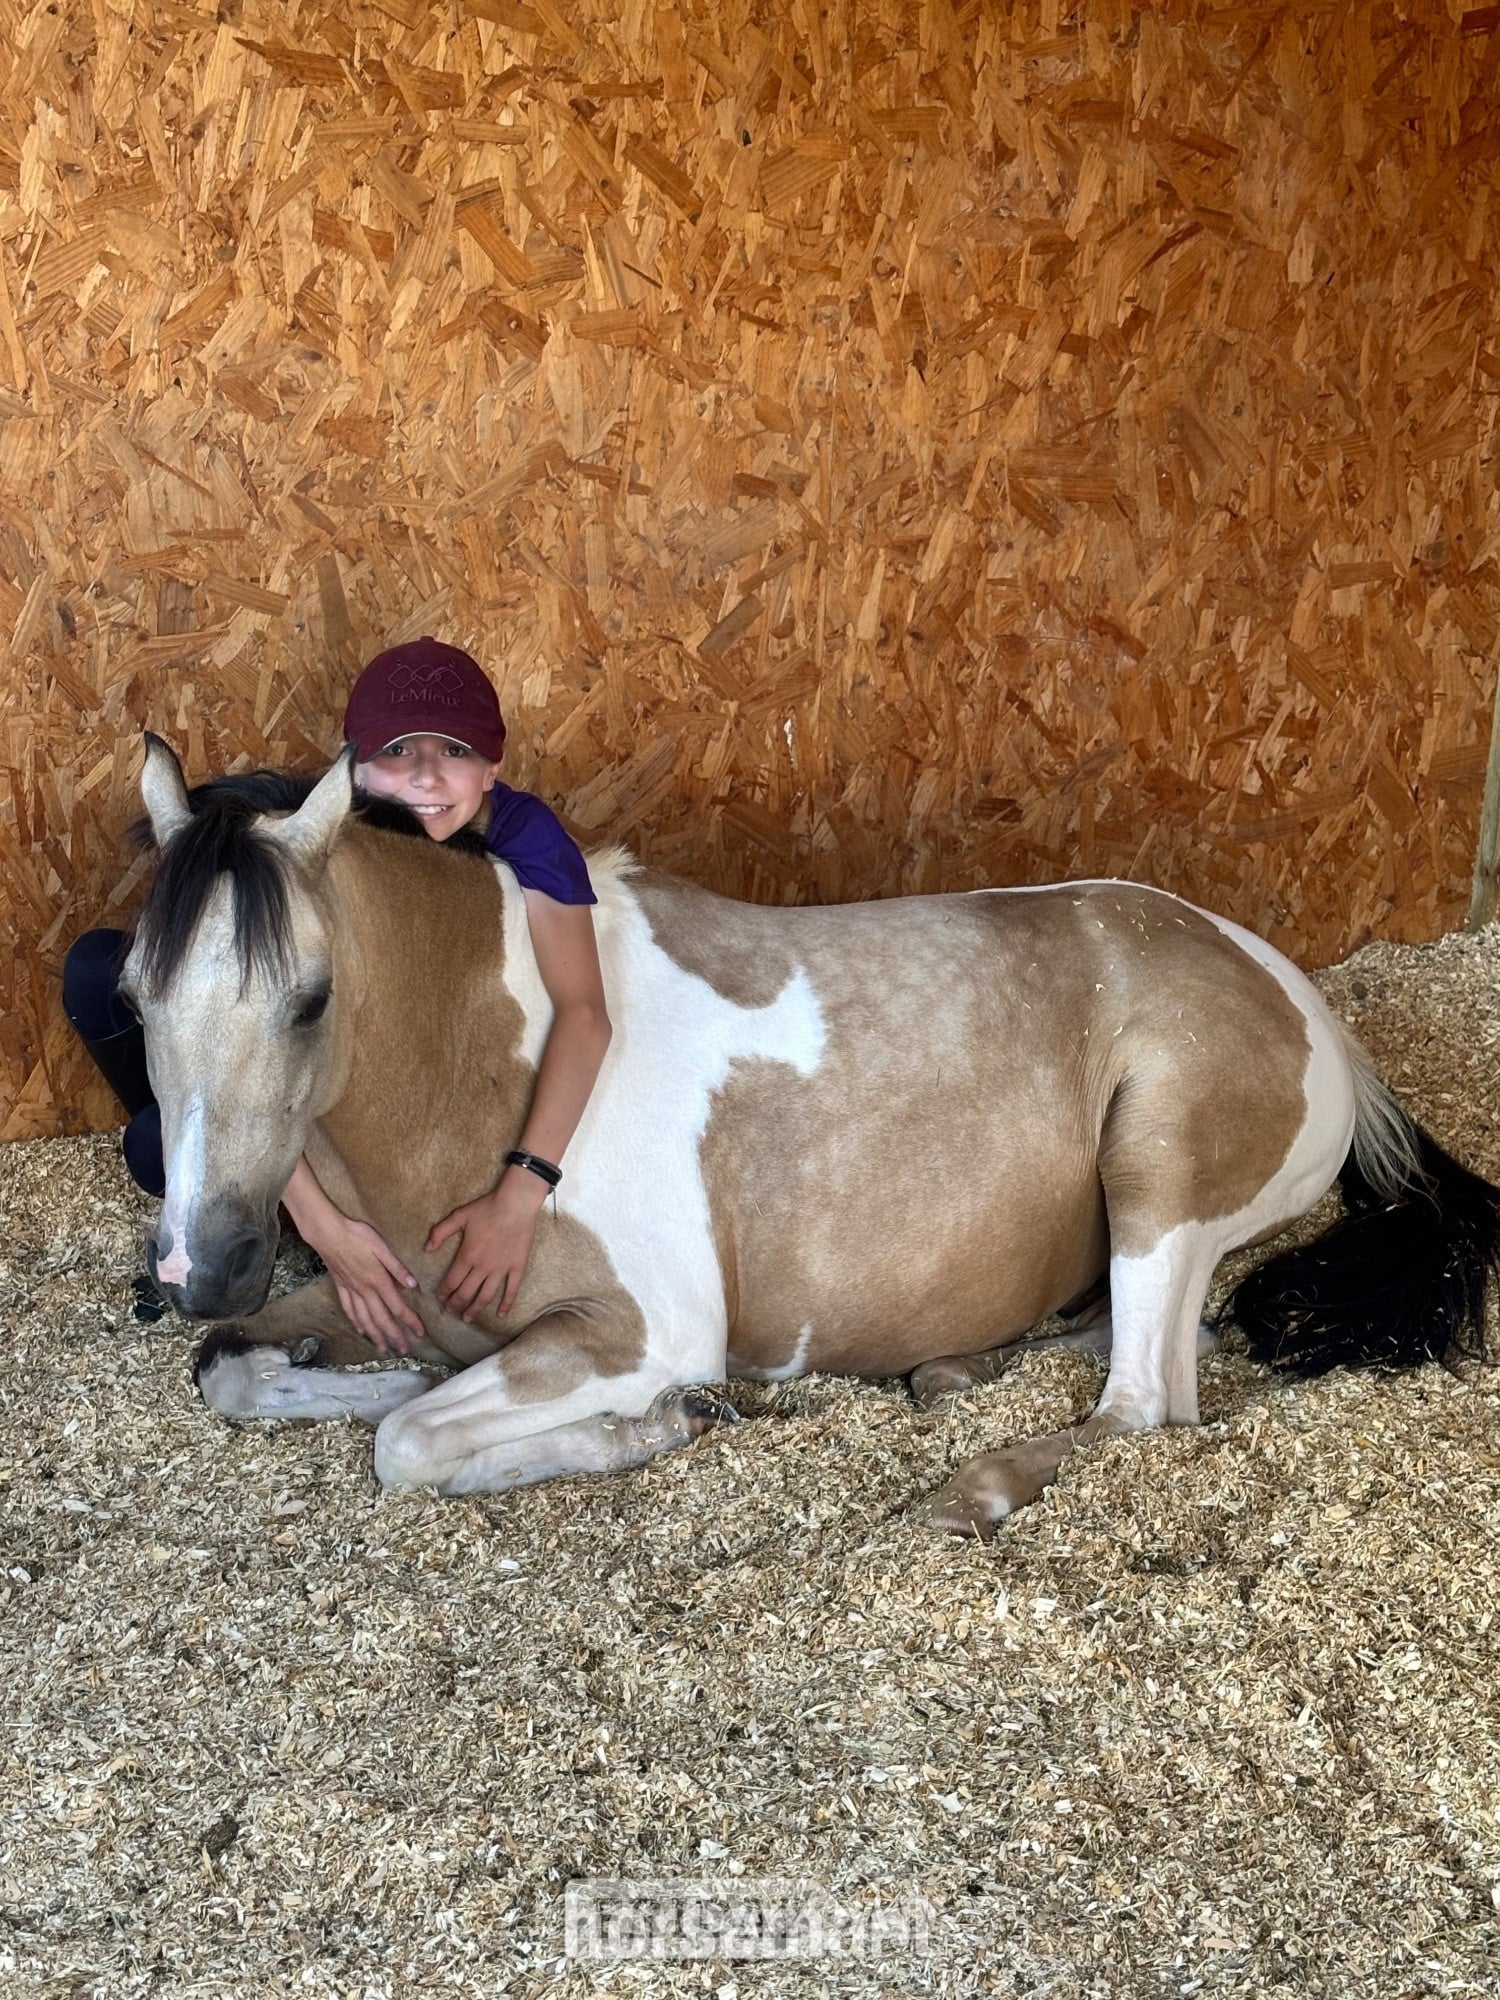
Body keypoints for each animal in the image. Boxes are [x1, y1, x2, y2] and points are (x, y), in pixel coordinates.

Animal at [119, 735, 1500, 1537]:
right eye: (135, 993)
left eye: (310, 997)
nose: (198, 1267)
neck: (490, 1066)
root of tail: (1305, 1002)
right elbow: (241, 1371)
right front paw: (368, 1372)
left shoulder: (640, 1329)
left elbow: (407, 1446)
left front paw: (653, 1426)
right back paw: (952, 1374)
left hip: (1154, 1168)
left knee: (1146, 1401)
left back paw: (969, 1488)